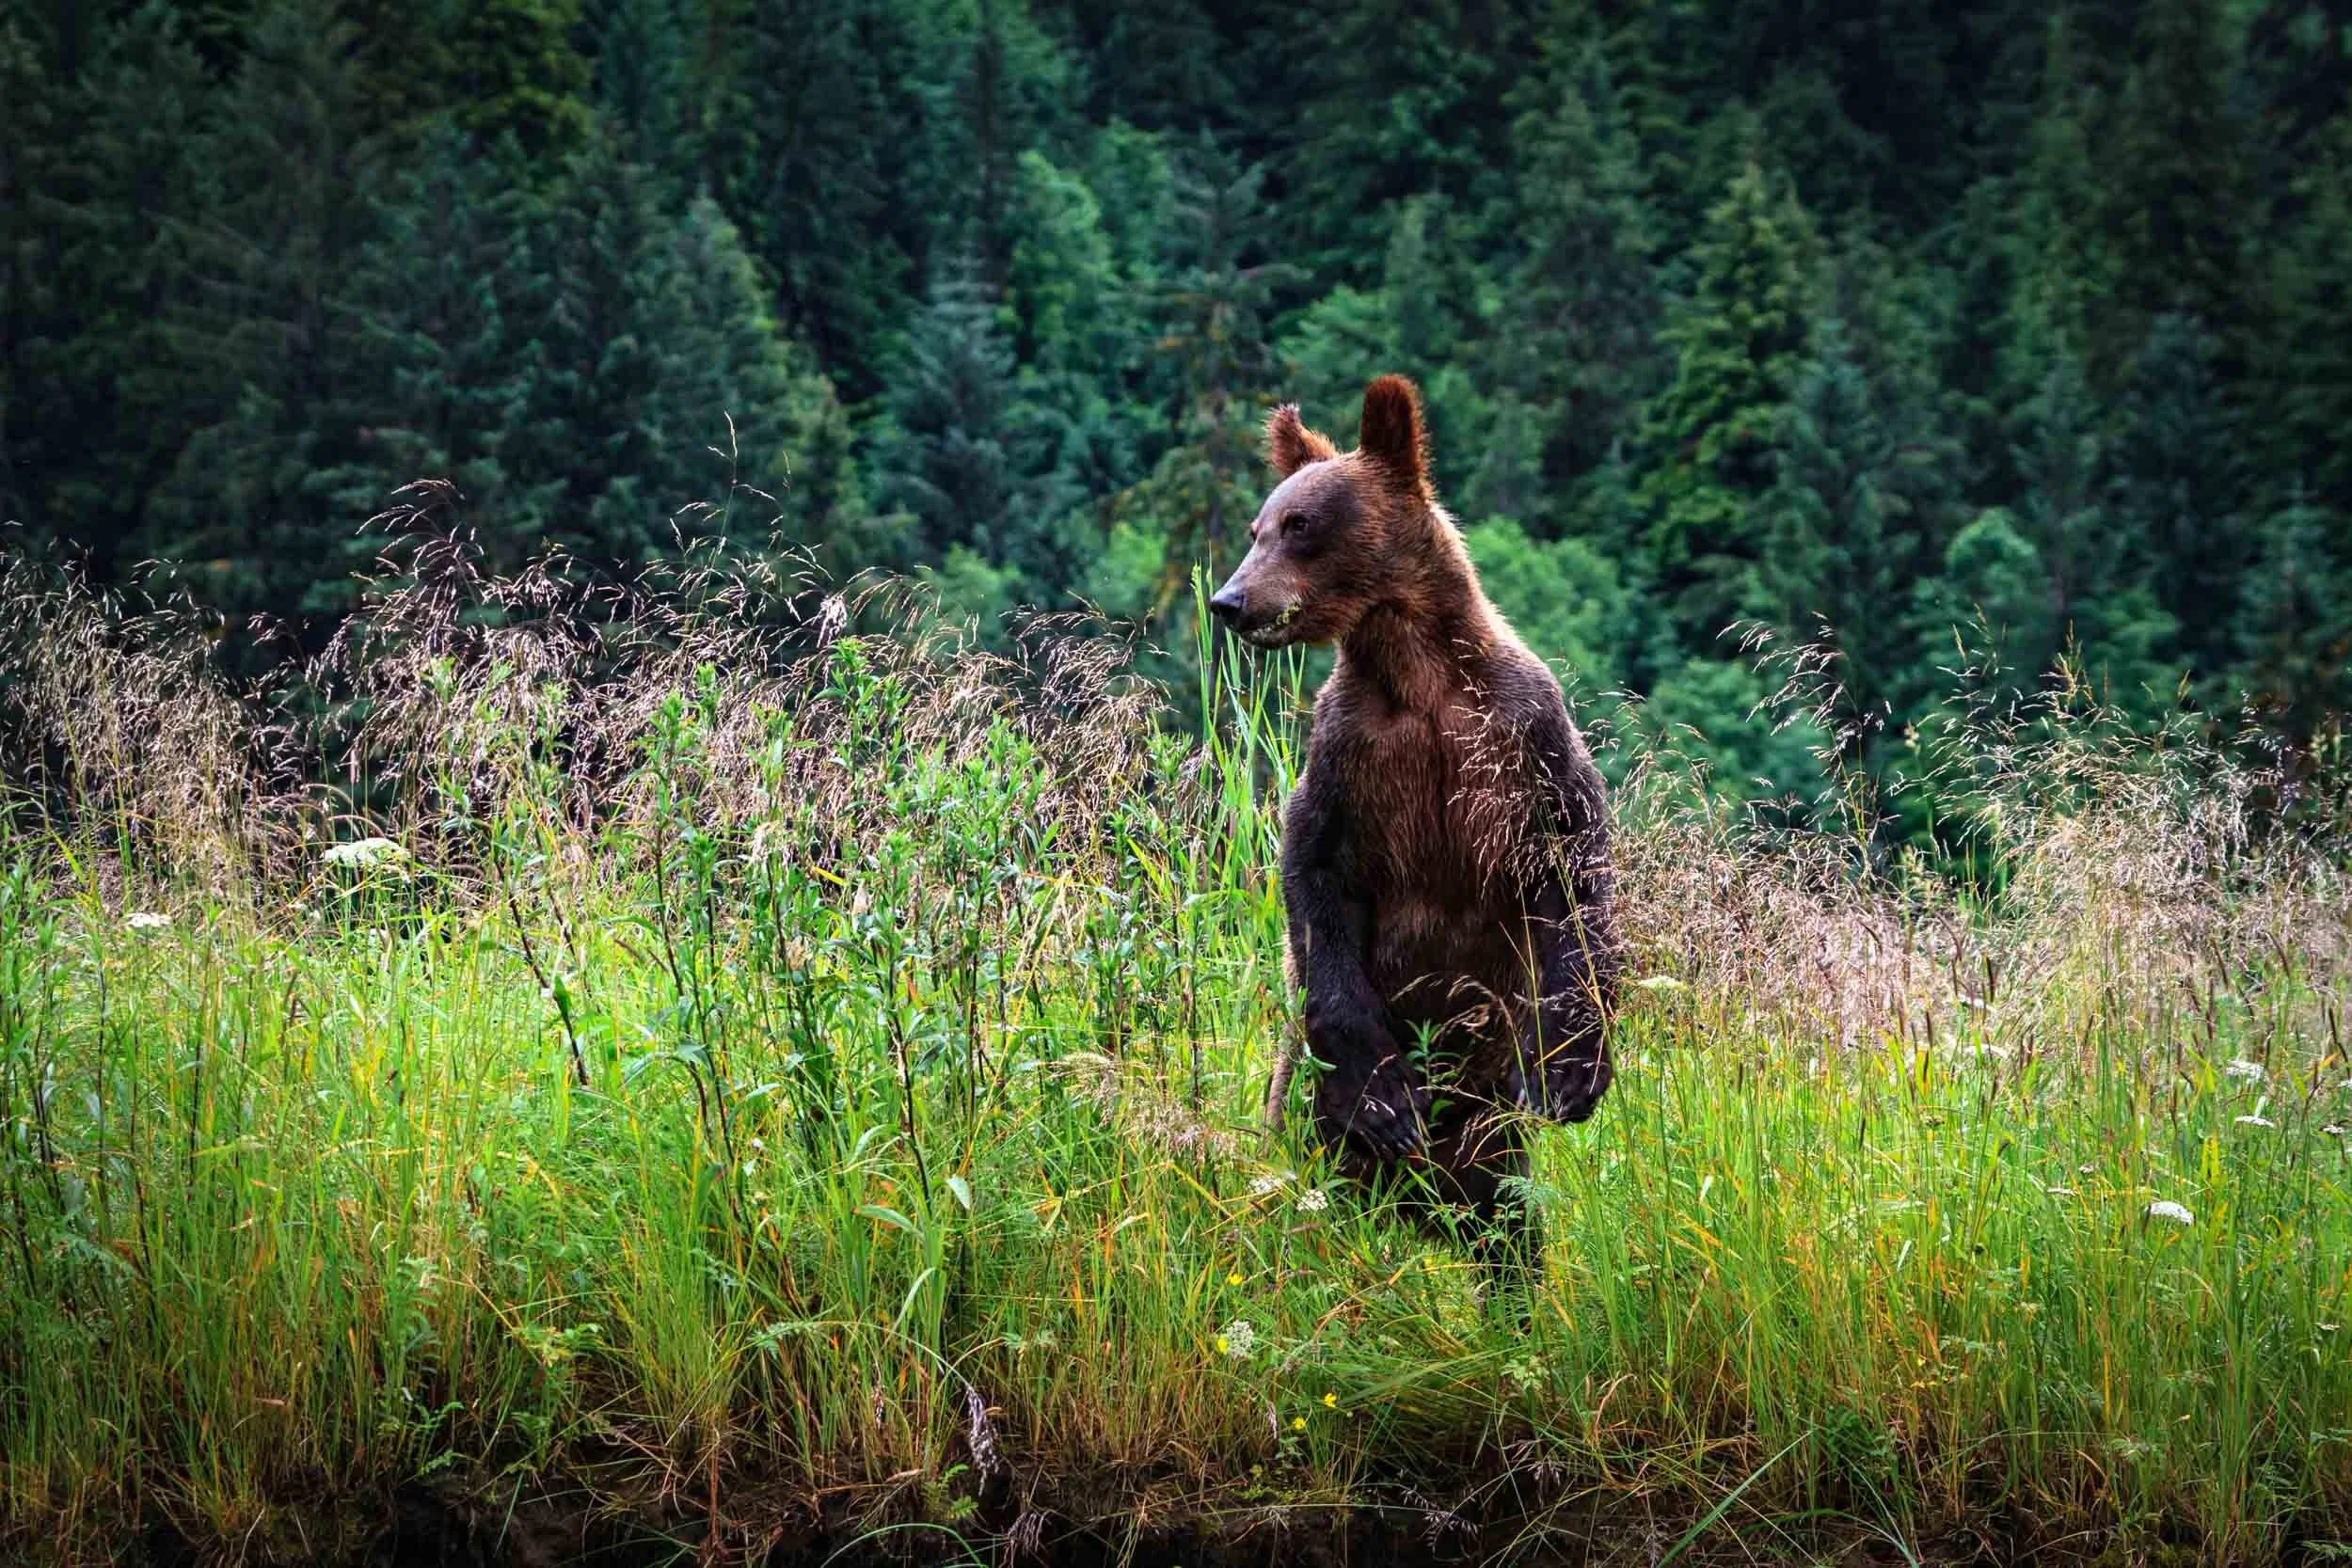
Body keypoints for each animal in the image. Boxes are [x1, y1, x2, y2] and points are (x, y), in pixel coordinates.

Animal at [1209, 373, 1618, 1276]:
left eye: (1300, 524)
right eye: (1257, 526)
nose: (1229, 600)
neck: (1418, 675)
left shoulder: (1522, 738)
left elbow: (1575, 869)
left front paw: (1572, 1070)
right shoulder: (1349, 757)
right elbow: (1314, 881)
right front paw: (1385, 1096)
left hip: (1492, 1131)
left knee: (1511, 1222)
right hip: (1303, 1122)